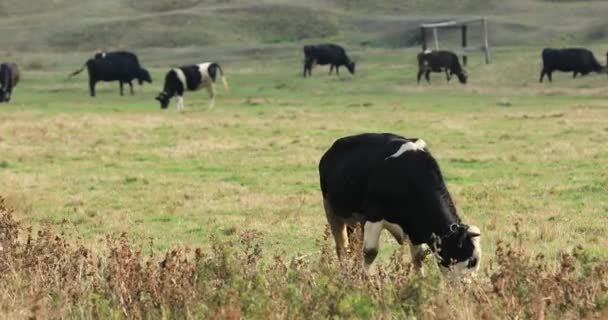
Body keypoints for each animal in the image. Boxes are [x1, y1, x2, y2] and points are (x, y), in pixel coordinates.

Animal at [320, 132, 482, 280]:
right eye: (472, 261)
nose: (466, 288)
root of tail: (333, 148)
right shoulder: (374, 216)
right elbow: (370, 252)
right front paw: (364, 279)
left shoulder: (414, 227)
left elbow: (418, 257)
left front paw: (419, 281)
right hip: (332, 211)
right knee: (342, 247)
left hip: (356, 222)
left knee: (354, 246)